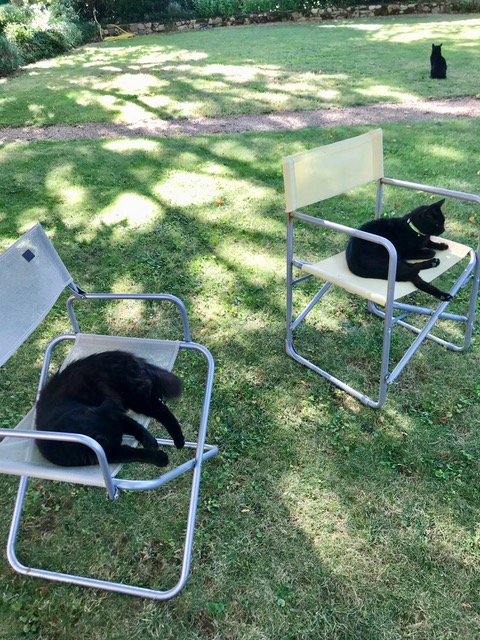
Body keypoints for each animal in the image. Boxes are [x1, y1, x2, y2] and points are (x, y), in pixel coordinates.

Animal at [35, 350, 184, 467]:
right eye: (117, 439)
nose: (120, 440)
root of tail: (128, 357)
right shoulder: (110, 452)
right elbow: (135, 453)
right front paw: (159, 456)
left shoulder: (117, 417)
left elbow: (137, 427)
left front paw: (151, 441)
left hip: (136, 398)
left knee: (163, 412)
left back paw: (179, 441)